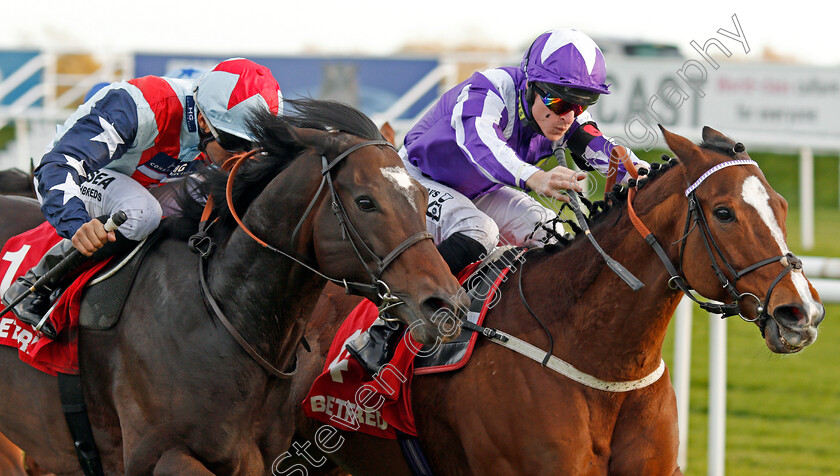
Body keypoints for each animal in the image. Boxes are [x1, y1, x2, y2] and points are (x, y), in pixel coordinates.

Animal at [0, 98, 466, 474]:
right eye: (366, 201)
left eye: (424, 199)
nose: (445, 303)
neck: (218, 316)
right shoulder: (158, 456)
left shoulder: (257, 460)